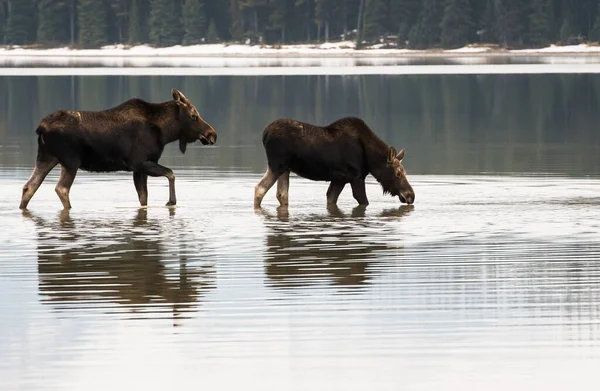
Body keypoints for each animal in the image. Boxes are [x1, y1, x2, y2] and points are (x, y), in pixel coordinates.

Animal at [252, 116, 412, 208]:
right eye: (398, 173)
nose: (411, 195)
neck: (371, 159)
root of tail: (264, 134)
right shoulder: (356, 177)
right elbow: (363, 200)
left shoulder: (339, 179)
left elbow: (331, 199)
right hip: (277, 165)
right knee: (259, 189)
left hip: (285, 168)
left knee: (282, 194)